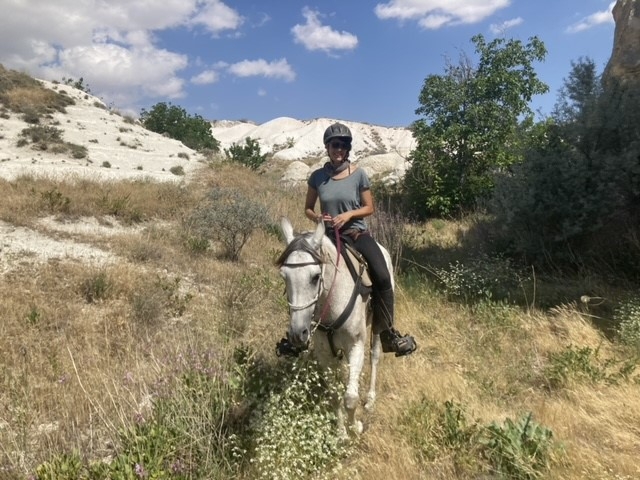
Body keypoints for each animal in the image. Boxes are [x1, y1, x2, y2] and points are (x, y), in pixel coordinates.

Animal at [274, 217, 390, 436]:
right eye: (284, 277)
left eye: (315, 277)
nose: (297, 334)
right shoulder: (325, 353)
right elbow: (335, 395)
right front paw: (341, 433)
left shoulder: (356, 346)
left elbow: (350, 398)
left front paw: (355, 428)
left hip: (378, 325)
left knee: (375, 356)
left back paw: (370, 400)